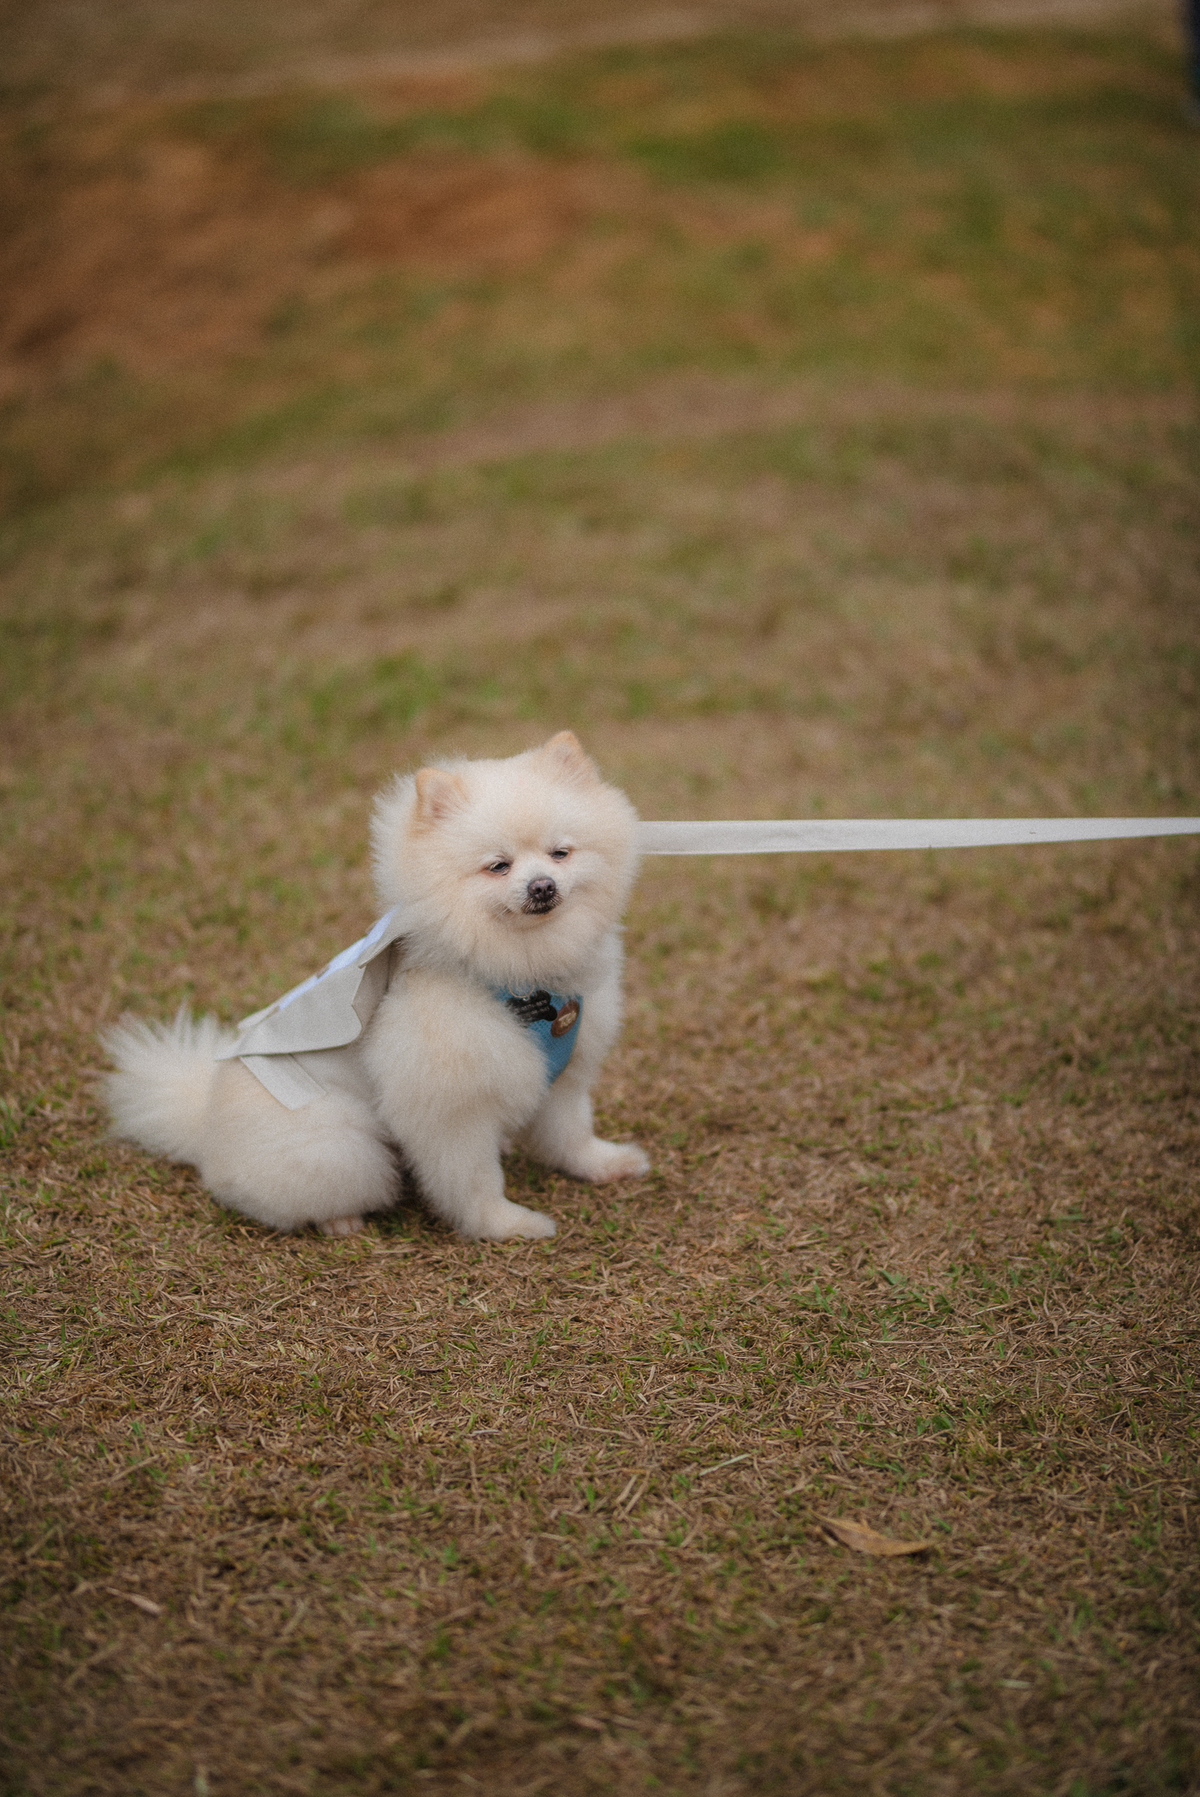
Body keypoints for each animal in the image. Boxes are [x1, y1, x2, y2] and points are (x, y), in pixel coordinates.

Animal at [103, 732, 649, 1240]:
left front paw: (605, 1165)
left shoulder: (568, 1068)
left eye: (560, 853)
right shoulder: (448, 1108)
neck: (522, 971)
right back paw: (341, 1220)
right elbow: (474, 1180)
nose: (542, 886)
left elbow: (571, 1132)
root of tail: (204, 1128)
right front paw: (506, 1225)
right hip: (339, 1145)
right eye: (498, 865)